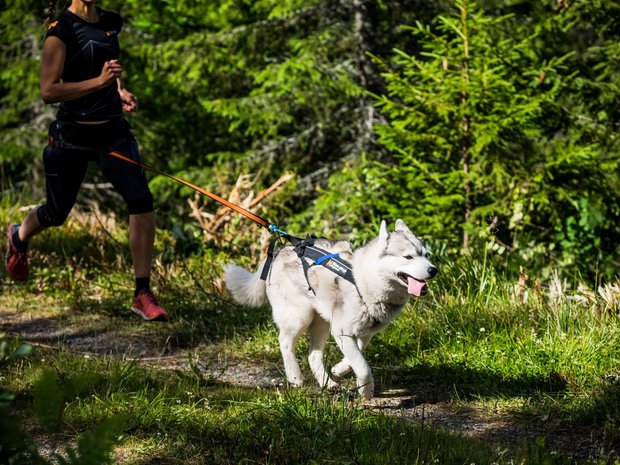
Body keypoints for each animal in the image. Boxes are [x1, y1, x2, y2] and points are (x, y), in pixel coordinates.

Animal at [223, 219, 436, 396]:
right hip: (299, 317)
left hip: (323, 324)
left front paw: (338, 370)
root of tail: (280, 251)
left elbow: (355, 357)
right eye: (408, 257)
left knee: (313, 355)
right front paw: (366, 391)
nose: (434, 270)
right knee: (284, 341)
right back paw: (295, 377)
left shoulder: (364, 333)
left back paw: (327, 382)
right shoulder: (342, 331)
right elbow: (362, 367)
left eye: (427, 255)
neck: (363, 282)